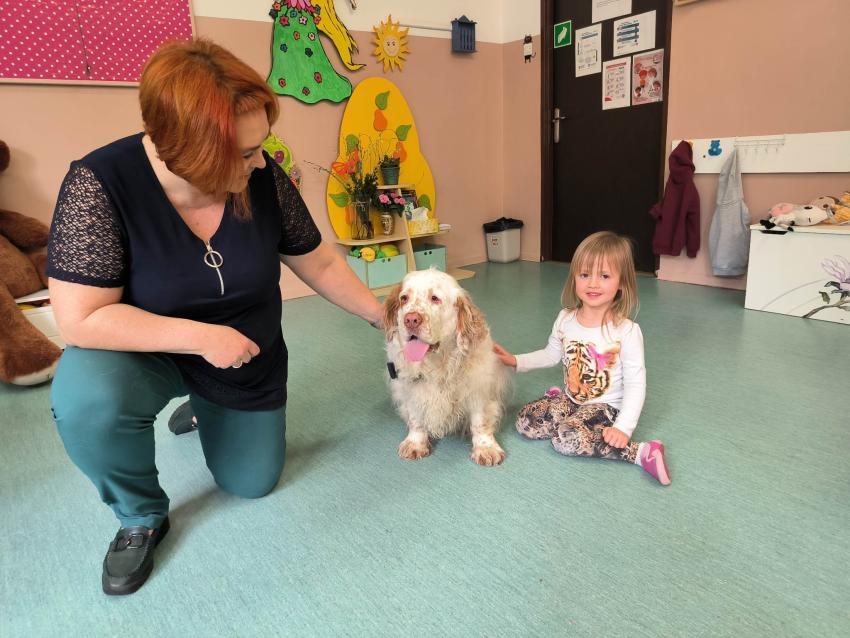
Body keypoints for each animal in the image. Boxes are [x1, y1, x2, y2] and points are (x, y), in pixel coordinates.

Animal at [382, 269, 509, 466]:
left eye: (435, 298)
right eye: (404, 298)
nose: (410, 319)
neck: (437, 364)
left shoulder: (478, 390)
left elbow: (480, 421)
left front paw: (485, 448)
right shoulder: (411, 390)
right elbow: (416, 419)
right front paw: (415, 443)